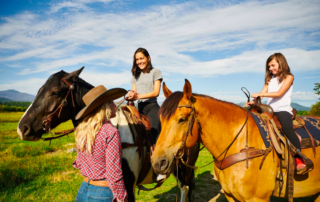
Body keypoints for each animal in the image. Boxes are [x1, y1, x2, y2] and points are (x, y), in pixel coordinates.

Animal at [151, 79, 320, 201]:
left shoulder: (258, 198)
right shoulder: (230, 195)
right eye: (161, 120)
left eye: (182, 119)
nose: (158, 163)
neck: (239, 143)